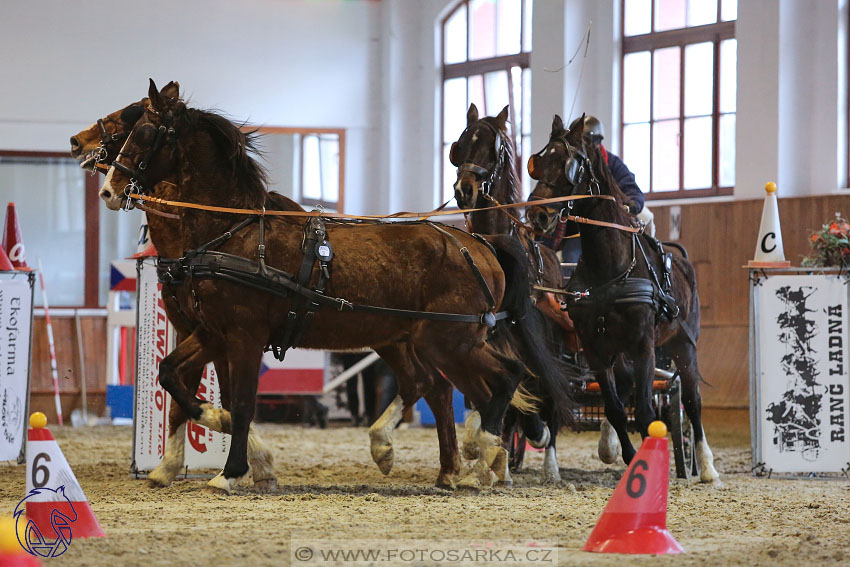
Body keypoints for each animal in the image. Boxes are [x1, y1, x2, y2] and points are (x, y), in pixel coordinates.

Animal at [101, 80, 564, 492]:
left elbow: (244, 401)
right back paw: (438, 459)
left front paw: (230, 471)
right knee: (441, 385)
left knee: (503, 378)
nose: (109, 189)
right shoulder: (212, 331)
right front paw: (213, 427)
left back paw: (482, 456)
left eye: (144, 132)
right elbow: (172, 374)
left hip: (451, 339)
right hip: (418, 339)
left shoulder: (244, 335)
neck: (233, 232)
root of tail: (479, 244)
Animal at [524, 114, 716, 484]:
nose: (537, 216)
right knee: (624, 389)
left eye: (570, 164)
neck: (610, 268)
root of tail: (682, 260)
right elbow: (614, 407)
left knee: (692, 399)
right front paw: (627, 455)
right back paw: (609, 444)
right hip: (621, 350)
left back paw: (707, 465)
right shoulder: (595, 349)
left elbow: (645, 412)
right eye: (537, 163)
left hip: (684, 344)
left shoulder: (643, 346)